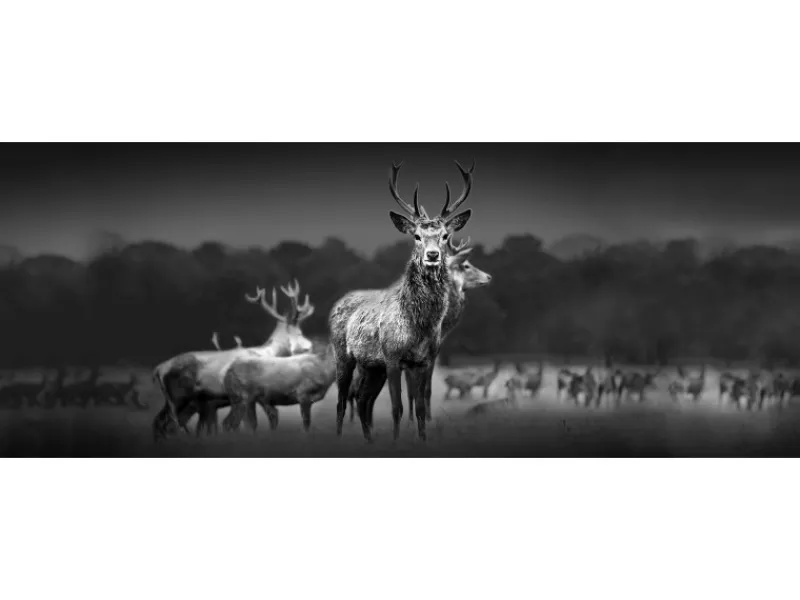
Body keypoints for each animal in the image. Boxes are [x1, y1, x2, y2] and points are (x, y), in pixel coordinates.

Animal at [152, 280, 315, 441]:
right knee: (171, 425)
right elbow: (254, 423)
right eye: (298, 333)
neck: (267, 354)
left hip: (176, 401)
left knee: (160, 421)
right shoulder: (254, 394)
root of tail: (158, 369)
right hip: (179, 397)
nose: (310, 346)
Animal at [329, 160, 475, 442]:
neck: (419, 326)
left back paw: (369, 440)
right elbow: (397, 407)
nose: (432, 255)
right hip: (343, 354)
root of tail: (338, 303)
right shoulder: (393, 356)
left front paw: (422, 440)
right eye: (416, 236)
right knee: (342, 401)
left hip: (371, 366)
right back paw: (340, 437)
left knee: (362, 399)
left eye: (444, 235)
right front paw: (396, 442)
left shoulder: (423, 361)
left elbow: (420, 408)